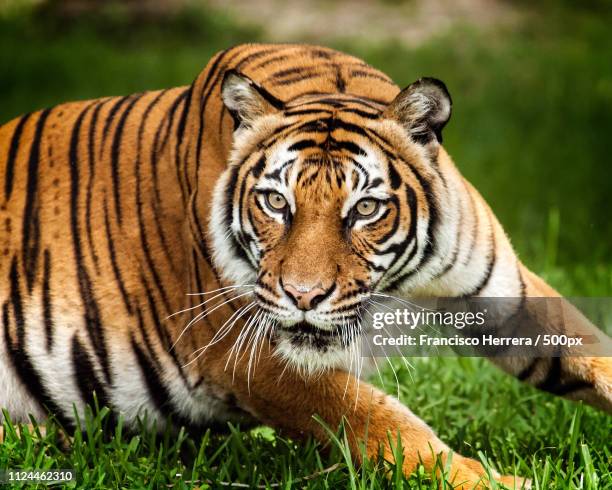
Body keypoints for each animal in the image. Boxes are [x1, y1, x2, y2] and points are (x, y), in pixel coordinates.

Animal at [1, 44, 612, 488]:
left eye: (365, 209)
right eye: (276, 202)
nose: (303, 296)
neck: (398, 288)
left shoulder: (506, 293)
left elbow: (591, 351)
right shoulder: (247, 353)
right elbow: (384, 424)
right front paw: (498, 482)